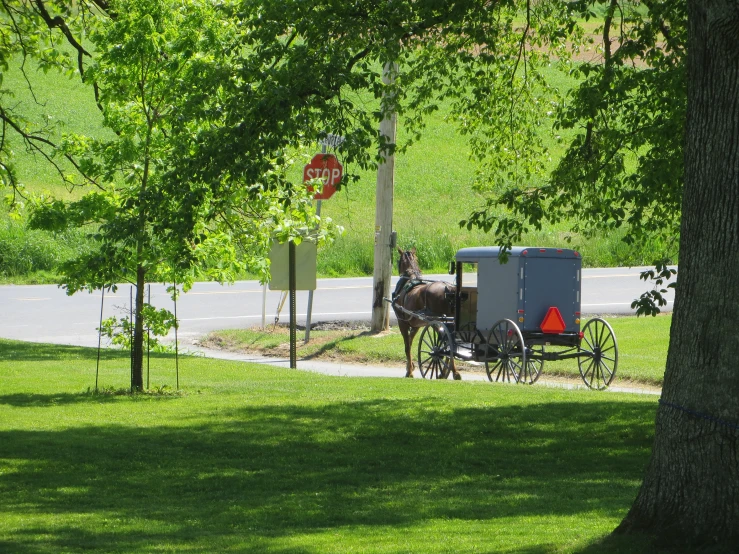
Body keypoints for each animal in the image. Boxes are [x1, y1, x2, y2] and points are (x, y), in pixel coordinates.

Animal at [390, 247, 460, 380]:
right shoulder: (416, 325)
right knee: (449, 344)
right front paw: (410, 367)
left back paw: (450, 371)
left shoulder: (402, 322)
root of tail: (448, 289)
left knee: (447, 344)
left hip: (438, 321)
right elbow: (410, 342)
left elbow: (407, 346)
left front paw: (410, 371)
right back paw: (447, 372)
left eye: (398, 261)